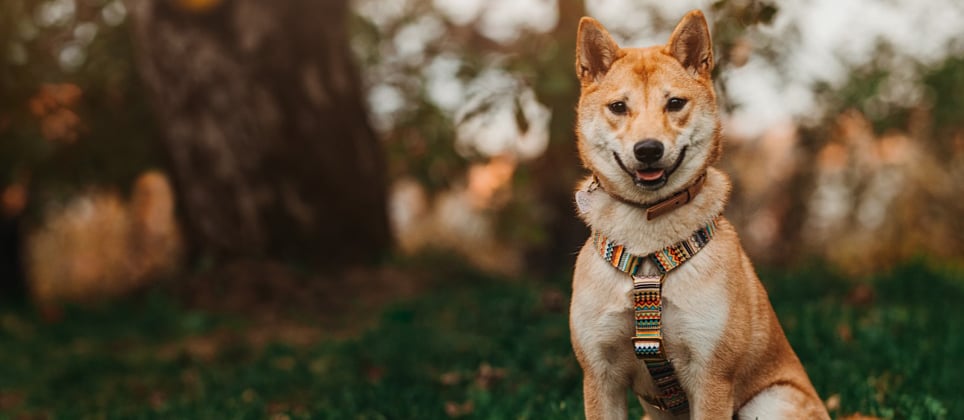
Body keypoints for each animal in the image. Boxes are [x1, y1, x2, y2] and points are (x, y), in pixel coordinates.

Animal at [572, 9, 828, 420]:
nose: (648, 149)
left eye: (675, 103)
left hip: (771, 401)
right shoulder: (600, 374)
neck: (646, 248)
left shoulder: (711, 376)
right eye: (618, 107)